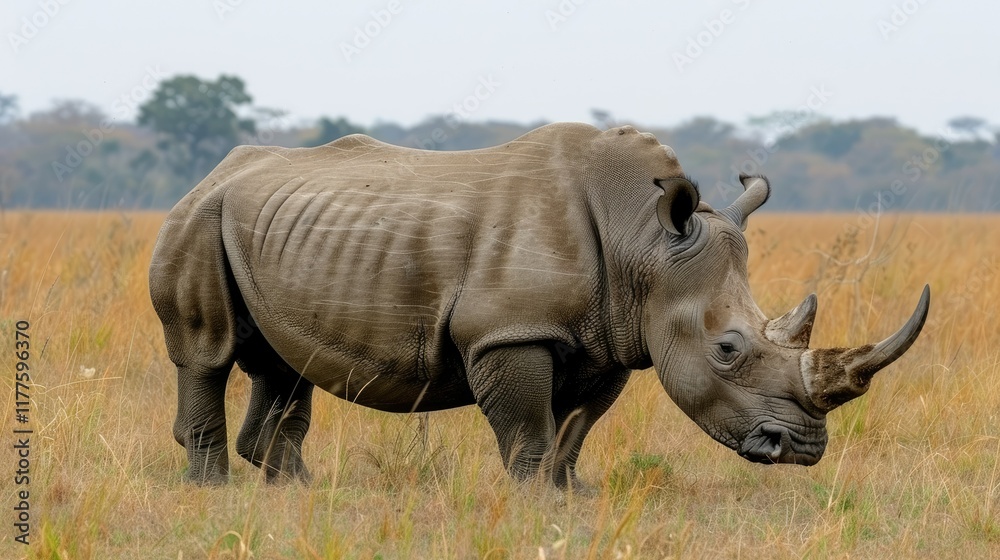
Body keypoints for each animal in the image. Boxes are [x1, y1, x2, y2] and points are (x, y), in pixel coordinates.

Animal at [149, 123, 929, 488]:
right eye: (728, 350)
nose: (801, 451)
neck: (644, 241)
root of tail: (214, 170)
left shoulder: (614, 336)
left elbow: (575, 426)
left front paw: (570, 494)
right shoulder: (509, 331)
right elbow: (527, 425)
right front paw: (530, 498)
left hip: (264, 224)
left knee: (284, 366)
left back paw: (297, 491)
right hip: (197, 216)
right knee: (208, 353)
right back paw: (214, 487)